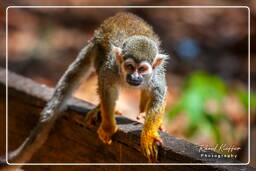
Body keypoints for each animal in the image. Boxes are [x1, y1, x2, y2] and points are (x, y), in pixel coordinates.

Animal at [1, 11, 168, 168]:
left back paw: (143, 113)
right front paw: (108, 126)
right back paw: (100, 108)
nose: (135, 77)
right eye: (130, 67)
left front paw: (148, 135)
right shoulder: (111, 67)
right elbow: (107, 89)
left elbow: (158, 94)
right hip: (98, 49)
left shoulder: (155, 74)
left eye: (142, 69)